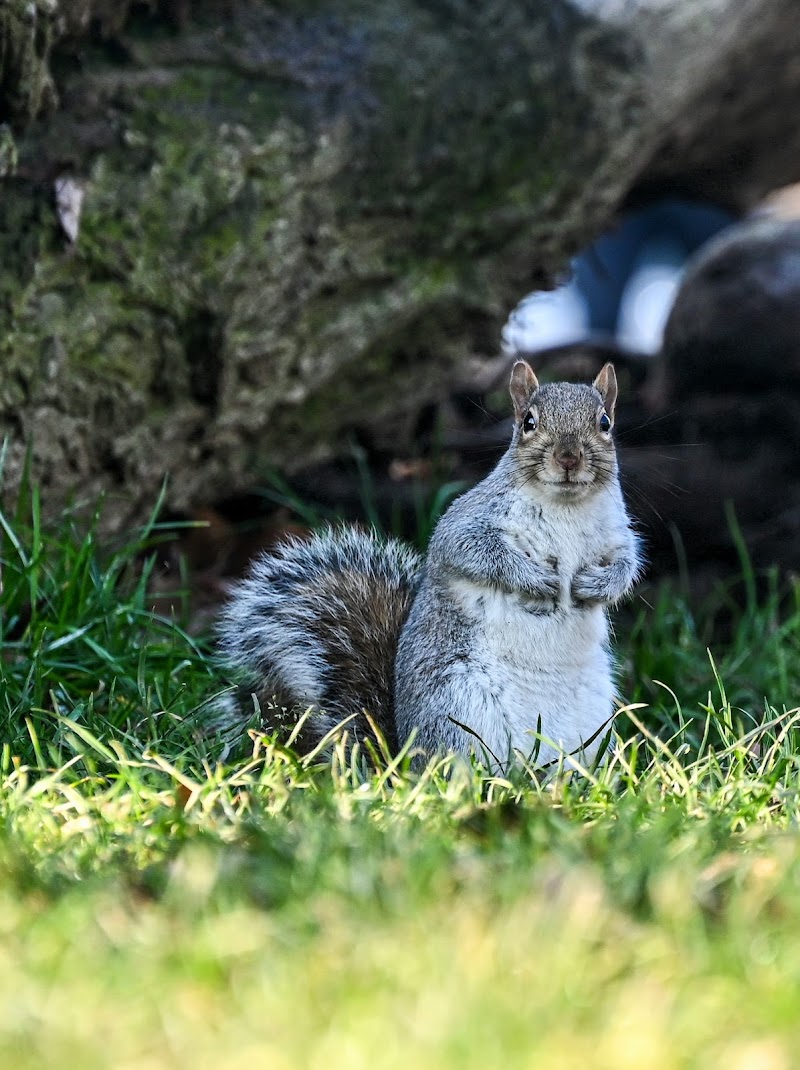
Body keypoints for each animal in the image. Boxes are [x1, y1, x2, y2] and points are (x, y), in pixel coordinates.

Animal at [216, 359, 641, 770]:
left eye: (605, 422)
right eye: (529, 423)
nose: (568, 458)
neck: (566, 507)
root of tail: (404, 758)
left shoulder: (619, 535)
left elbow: (626, 566)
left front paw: (597, 585)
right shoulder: (467, 523)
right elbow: (475, 552)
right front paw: (536, 580)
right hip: (462, 709)